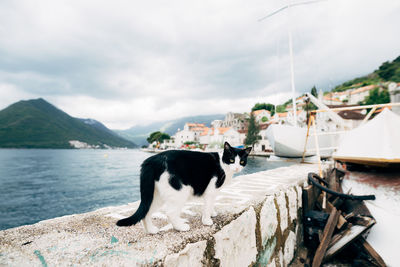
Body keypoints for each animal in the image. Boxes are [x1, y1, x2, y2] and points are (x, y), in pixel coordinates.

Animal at [115, 142, 252, 234]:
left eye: (241, 162)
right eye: (231, 160)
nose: (237, 168)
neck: (223, 165)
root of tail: (152, 160)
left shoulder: (213, 193)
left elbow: (211, 204)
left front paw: (212, 213)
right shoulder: (210, 190)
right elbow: (207, 205)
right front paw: (207, 220)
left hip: (156, 195)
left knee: (146, 211)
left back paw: (152, 230)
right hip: (180, 191)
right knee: (170, 212)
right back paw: (180, 227)